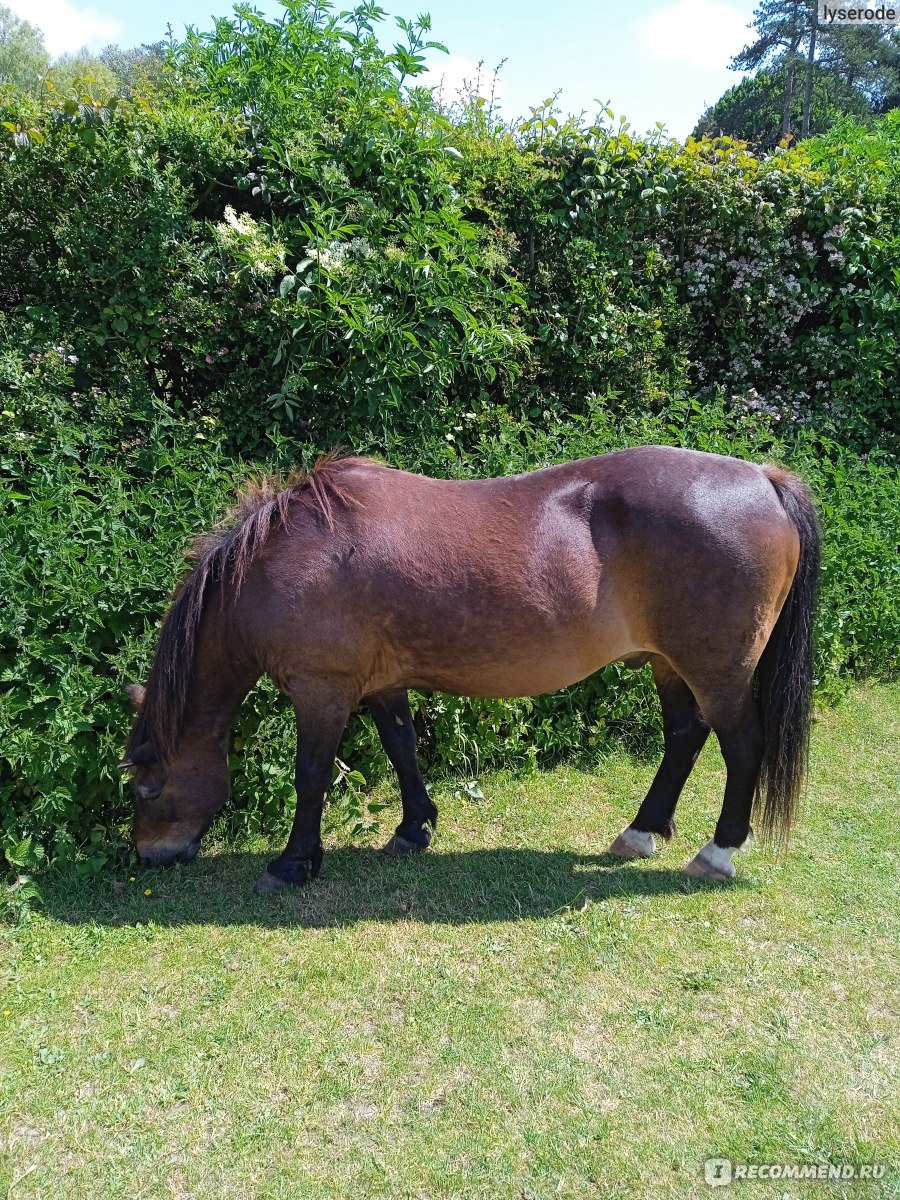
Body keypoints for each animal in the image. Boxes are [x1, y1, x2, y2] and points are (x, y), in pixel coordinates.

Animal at [123, 448, 820, 892]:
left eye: (147, 787)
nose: (149, 858)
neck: (282, 559)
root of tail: (763, 478)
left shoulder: (322, 690)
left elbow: (312, 774)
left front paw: (293, 863)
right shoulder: (382, 683)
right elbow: (402, 748)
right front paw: (413, 829)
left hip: (719, 672)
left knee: (742, 745)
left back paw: (718, 852)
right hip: (668, 664)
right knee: (683, 737)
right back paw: (641, 833)